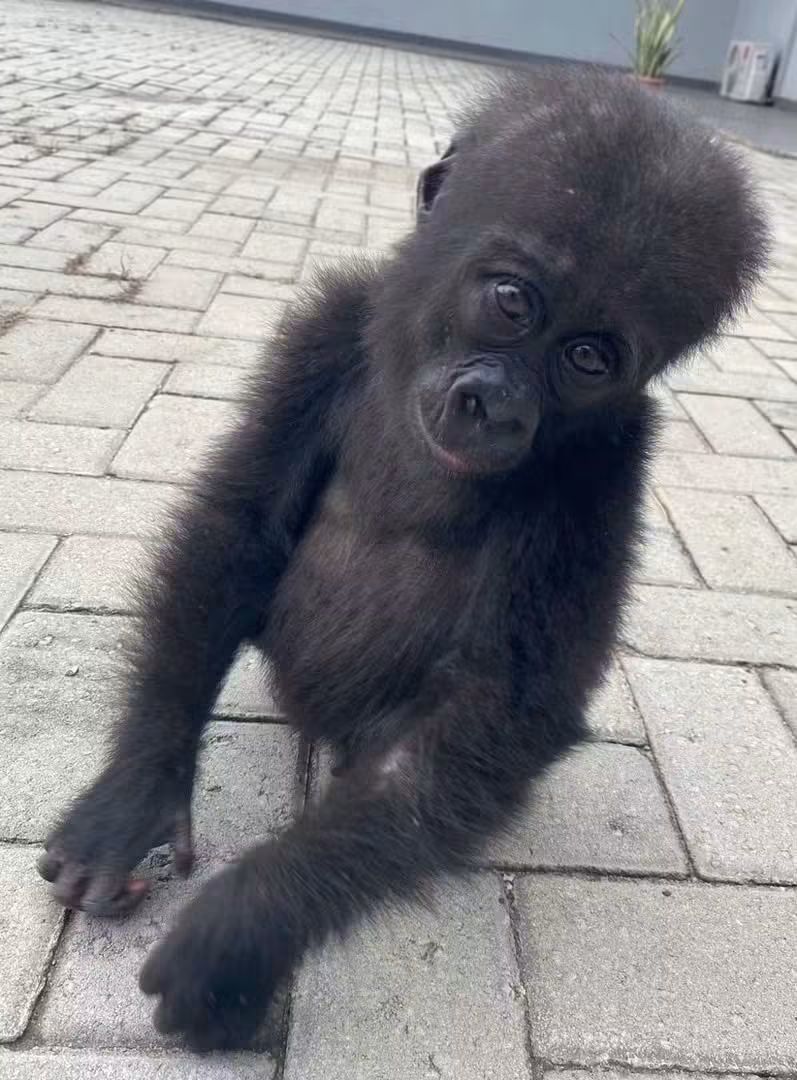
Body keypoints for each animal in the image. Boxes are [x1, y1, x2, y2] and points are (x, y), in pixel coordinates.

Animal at [37, 67, 768, 1051]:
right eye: (512, 302)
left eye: (588, 357)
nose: (498, 404)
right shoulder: (327, 322)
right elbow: (240, 529)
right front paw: (134, 793)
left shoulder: (609, 461)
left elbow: (503, 699)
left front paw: (246, 927)